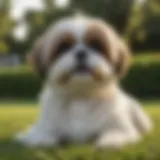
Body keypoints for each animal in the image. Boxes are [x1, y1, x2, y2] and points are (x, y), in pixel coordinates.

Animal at [15, 15, 152, 148]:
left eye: (96, 46)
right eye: (63, 47)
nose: (81, 52)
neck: (80, 96)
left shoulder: (120, 127)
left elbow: (116, 133)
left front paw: (110, 140)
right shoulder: (42, 128)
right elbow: (43, 137)